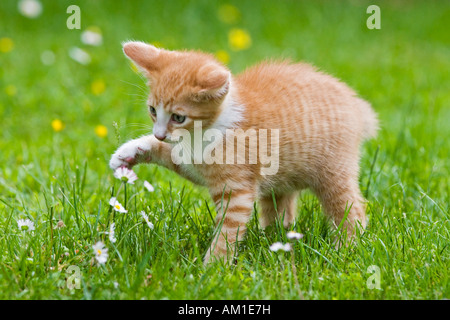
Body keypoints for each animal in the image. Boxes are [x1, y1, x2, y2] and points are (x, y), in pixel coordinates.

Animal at [110, 41, 378, 264]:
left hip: (334, 172)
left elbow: (228, 231)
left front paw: (211, 269)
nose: (159, 134)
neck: (205, 131)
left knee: (350, 209)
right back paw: (274, 238)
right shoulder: (188, 159)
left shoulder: (235, 191)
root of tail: (356, 104)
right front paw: (128, 152)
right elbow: (168, 152)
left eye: (178, 117)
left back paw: (346, 250)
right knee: (280, 206)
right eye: (153, 110)